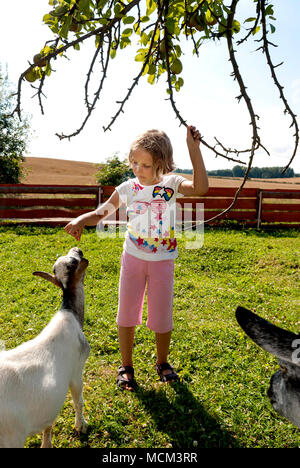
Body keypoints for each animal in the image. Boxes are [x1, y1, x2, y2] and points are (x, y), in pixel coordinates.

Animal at [0, 247, 90, 448]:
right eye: (74, 261)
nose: (78, 249)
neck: (70, 311)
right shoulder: (76, 371)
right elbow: (78, 401)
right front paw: (81, 426)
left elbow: (48, 425)